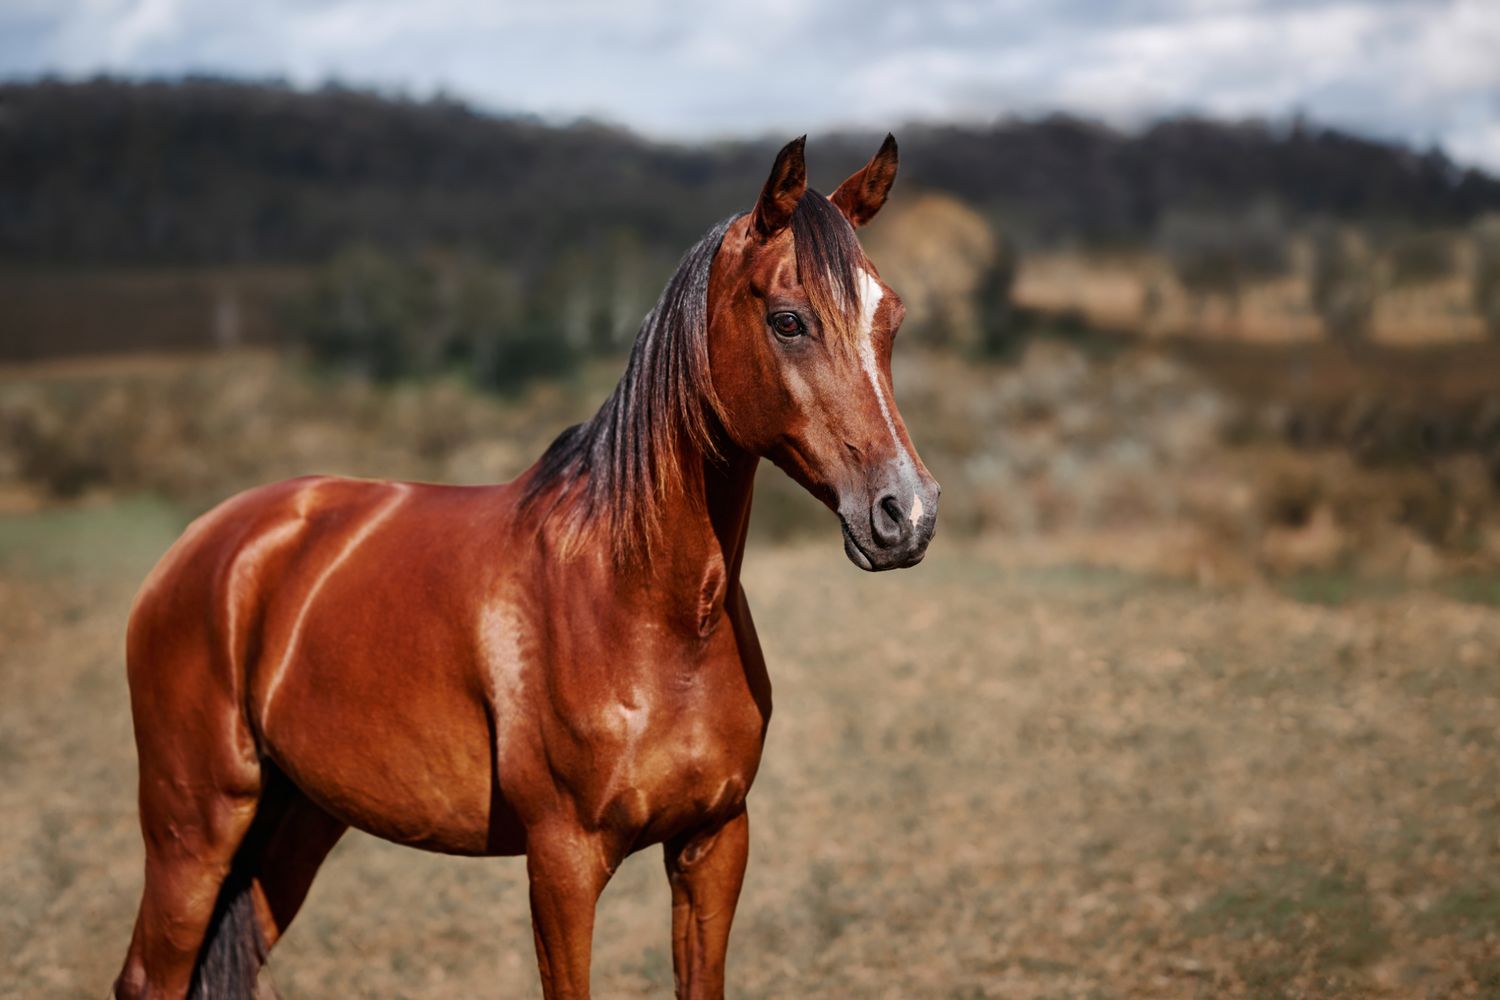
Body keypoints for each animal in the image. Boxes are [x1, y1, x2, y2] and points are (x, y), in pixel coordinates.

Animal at [112, 134, 940, 1000]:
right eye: (788, 321)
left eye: (891, 318)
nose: (906, 513)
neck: (647, 606)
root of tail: (208, 543)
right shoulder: (563, 862)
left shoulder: (713, 842)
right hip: (195, 826)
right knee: (148, 975)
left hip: (294, 825)